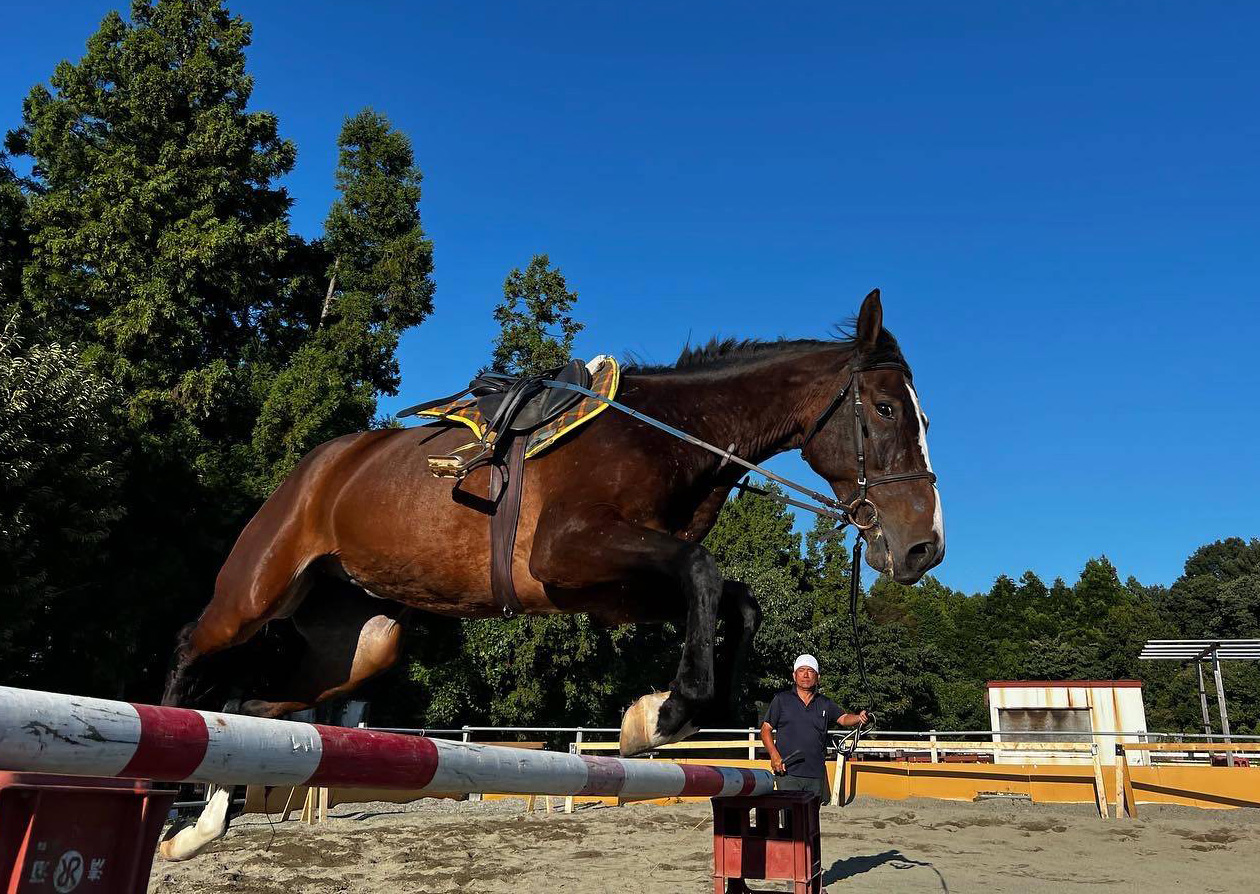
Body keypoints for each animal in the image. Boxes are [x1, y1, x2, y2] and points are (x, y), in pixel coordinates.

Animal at [160, 290, 947, 856]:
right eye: (884, 408)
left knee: (258, 703)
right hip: (255, 593)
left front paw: (660, 711)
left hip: (361, 639)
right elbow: (704, 572)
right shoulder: (567, 553)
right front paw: (662, 717)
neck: (667, 438)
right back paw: (168, 796)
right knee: (193, 648)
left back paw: (201, 828)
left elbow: (734, 601)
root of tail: (316, 466)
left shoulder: (611, 590)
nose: (925, 549)